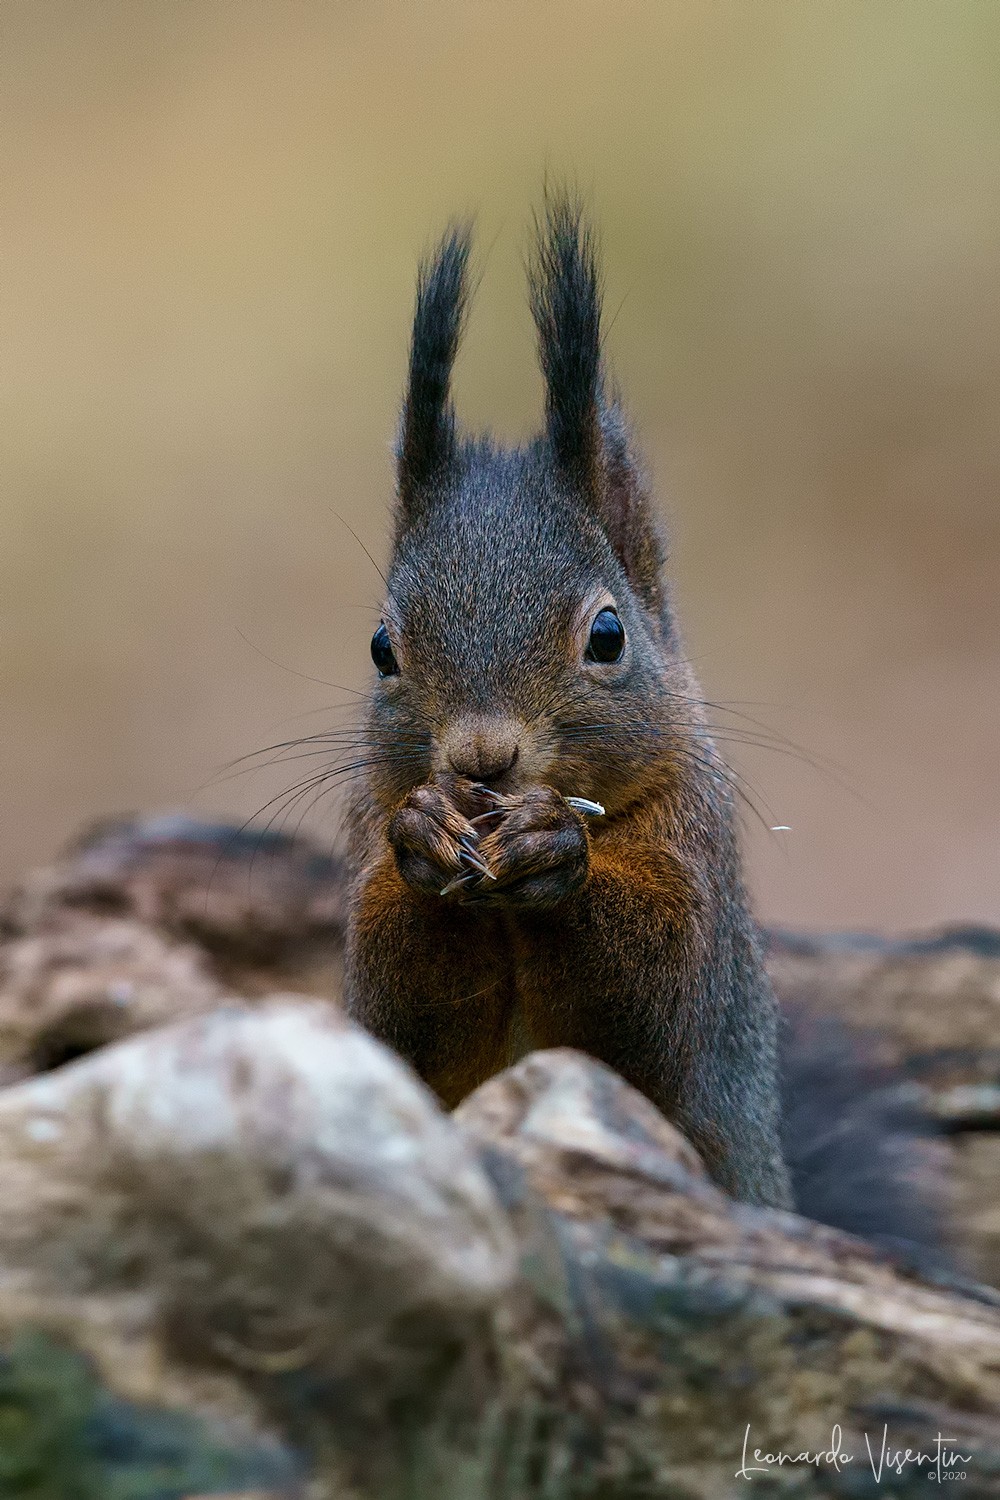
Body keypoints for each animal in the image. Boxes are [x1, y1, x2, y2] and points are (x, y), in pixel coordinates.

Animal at [343, 195, 792, 1210]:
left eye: (609, 635)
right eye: (383, 647)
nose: (481, 757)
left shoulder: (697, 849)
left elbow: (648, 1004)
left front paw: (554, 849)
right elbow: (394, 1015)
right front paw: (426, 831)